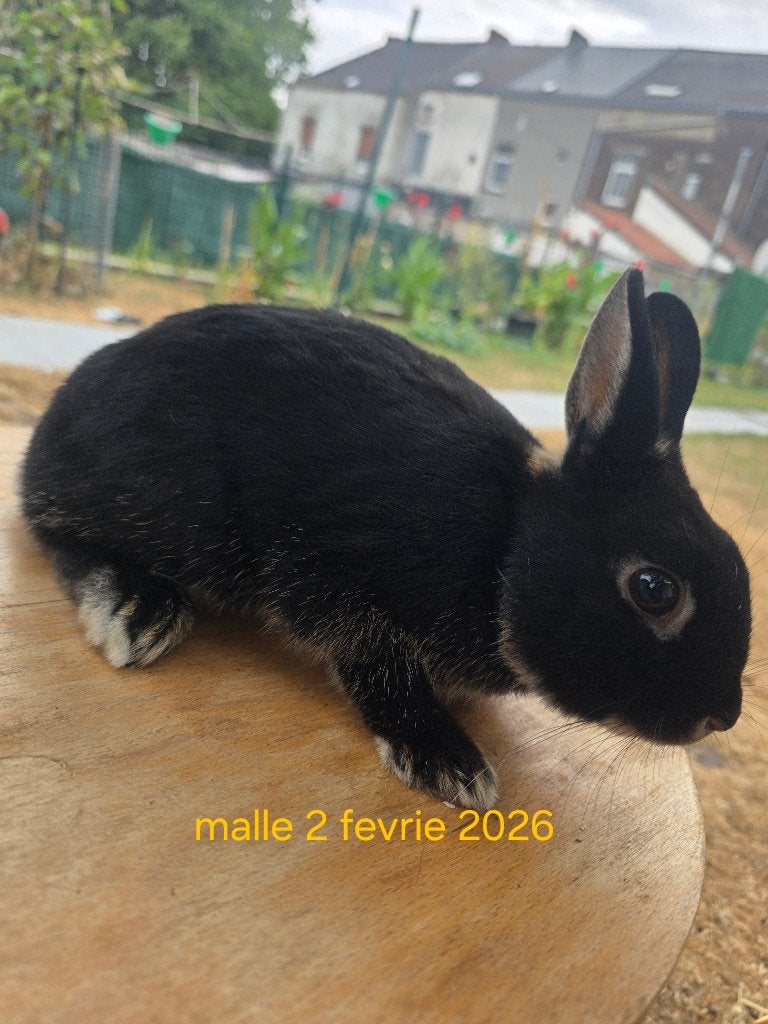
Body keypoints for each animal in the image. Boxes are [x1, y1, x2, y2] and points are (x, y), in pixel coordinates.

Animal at [20, 268, 751, 810]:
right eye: (654, 589)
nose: (722, 716)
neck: (507, 541)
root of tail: (55, 420)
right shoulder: (346, 584)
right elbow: (381, 668)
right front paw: (450, 763)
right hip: (164, 503)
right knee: (55, 531)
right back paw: (136, 611)